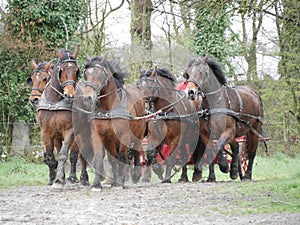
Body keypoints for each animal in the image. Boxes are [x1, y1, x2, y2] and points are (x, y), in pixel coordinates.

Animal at [82, 55, 147, 190]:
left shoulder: (124, 136)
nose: (87, 98)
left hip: (138, 134)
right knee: (113, 159)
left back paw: (134, 175)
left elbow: (122, 157)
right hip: (110, 140)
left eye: (100, 75)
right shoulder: (98, 135)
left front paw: (120, 183)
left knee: (137, 150)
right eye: (85, 74)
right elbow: (99, 159)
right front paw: (96, 184)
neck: (108, 109)